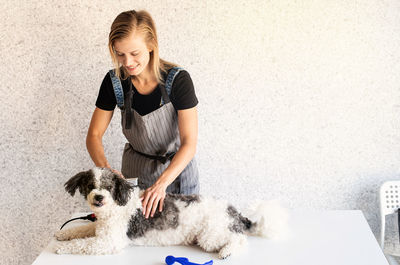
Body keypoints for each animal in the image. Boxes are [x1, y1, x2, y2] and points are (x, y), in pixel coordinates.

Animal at [54, 167, 288, 258]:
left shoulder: (108, 242)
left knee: (239, 239)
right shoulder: (100, 228)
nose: (98, 197)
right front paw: (62, 234)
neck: (115, 207)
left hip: (210, 235)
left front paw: (60, 247)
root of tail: (234, 212)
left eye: (108, 187)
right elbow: (82, 229)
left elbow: (81, 244)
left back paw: (227, 251)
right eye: (91, 186)